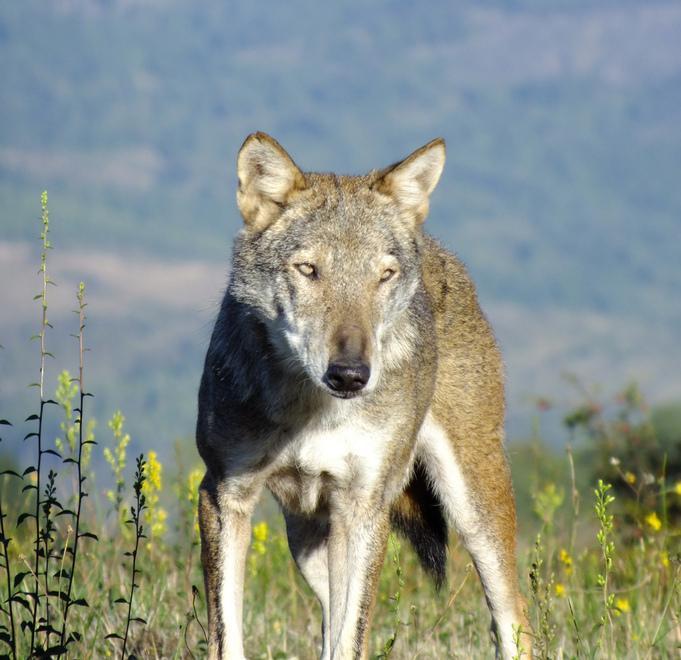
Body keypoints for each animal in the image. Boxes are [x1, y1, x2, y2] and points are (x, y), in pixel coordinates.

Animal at [196, 132, 530, 659]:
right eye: (308, 269)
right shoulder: (224, 494)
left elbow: (350, 641)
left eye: (383, 275)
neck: (313, 410)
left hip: (474, 513)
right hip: (309, 542)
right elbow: (227, 638)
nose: (351, 375)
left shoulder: (366, 507)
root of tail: (436, 248)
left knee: (514, 619)